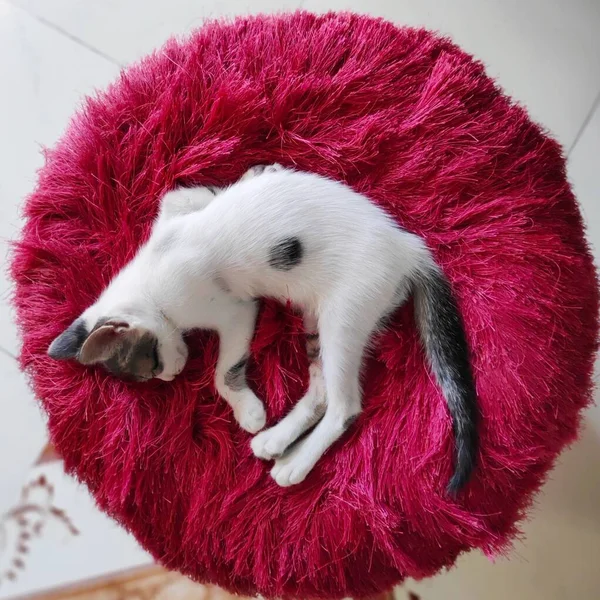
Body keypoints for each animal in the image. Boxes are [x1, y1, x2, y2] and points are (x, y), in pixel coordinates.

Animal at [47, 164, 478, 492]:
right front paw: (258, 173)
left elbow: (223, 372)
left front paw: (248, 410)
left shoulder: (234, 312)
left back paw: (295, 463)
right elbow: (195, 194)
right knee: (322, 392)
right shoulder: (177, 209)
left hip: (344, 315)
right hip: (317, 321)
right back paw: (276, 441)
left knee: (344, 407)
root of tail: (409, 248)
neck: (149, 277)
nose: (170, 375)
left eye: (149, 364)